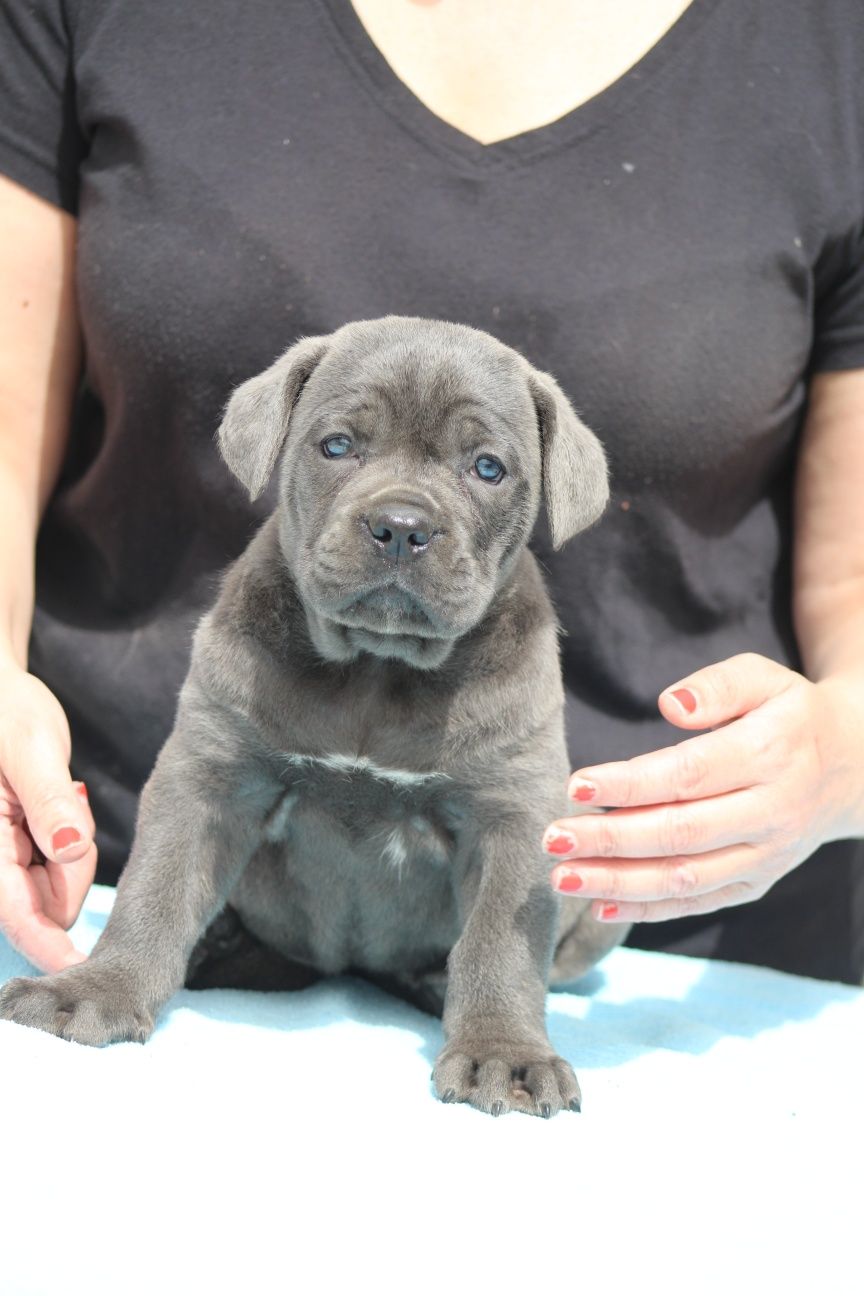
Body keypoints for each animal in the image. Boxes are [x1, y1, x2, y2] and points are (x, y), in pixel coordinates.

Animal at [0, 313, 624, 1114]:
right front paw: (94, 990)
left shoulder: (512, 815)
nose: (401, 525)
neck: (376, 671)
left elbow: (501, 944)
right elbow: (155, 888)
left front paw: (504, 1053)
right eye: (336, 446)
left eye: (487, 468)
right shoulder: (208, 776)